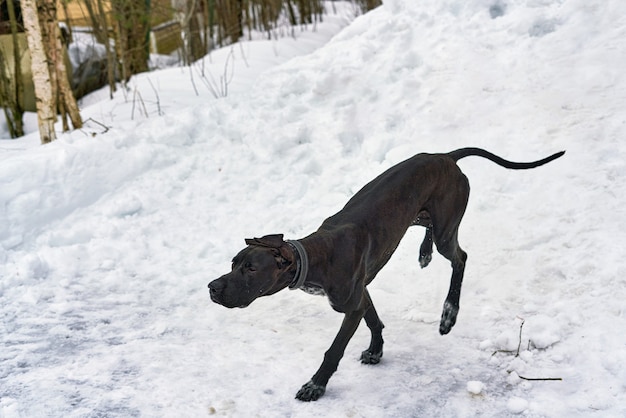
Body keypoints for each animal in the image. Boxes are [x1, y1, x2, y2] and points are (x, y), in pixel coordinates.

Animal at [207, 147, 564, 402]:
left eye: (251, 268)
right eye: (233, 263)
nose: (211, 287)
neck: (316, 255)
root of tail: (446, 157)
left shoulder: (349, 305)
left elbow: (334, 349)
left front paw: (315, 386)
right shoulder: (360, 292)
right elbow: (374, 318)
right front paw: (377, 350)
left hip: (447, 224)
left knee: (460, 258)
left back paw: (449, 314)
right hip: (419, 216)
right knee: (433, 237)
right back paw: (424, 253)